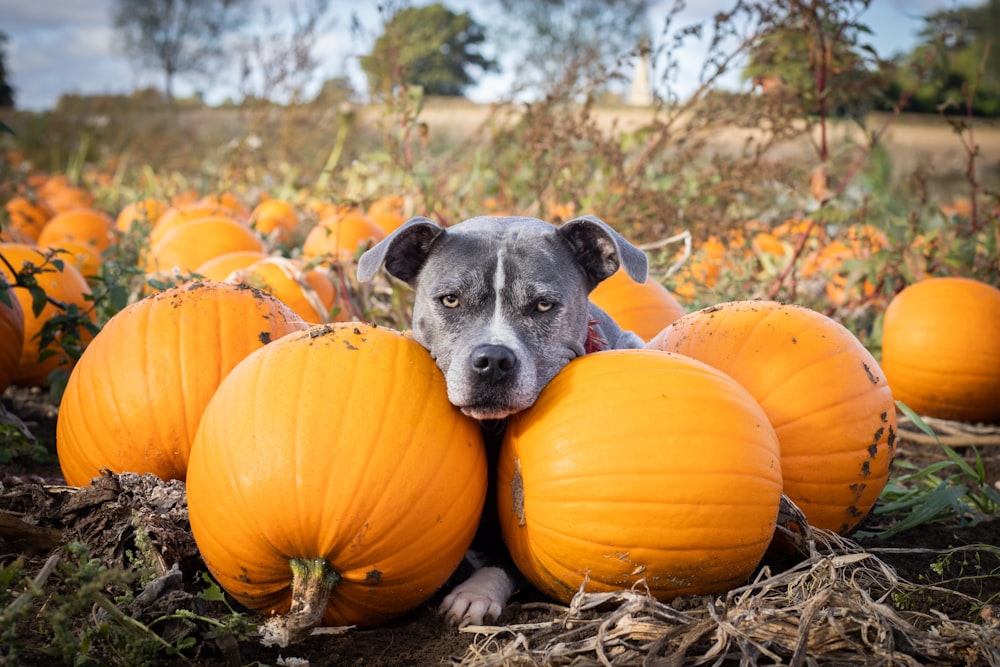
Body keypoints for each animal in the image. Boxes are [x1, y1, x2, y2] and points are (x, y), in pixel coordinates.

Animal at [360, 217, 648, 628]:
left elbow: (512, 559)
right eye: (450, 300)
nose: (493, 360)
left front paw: (475, 594)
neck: (493, 429)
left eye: (543, 305)